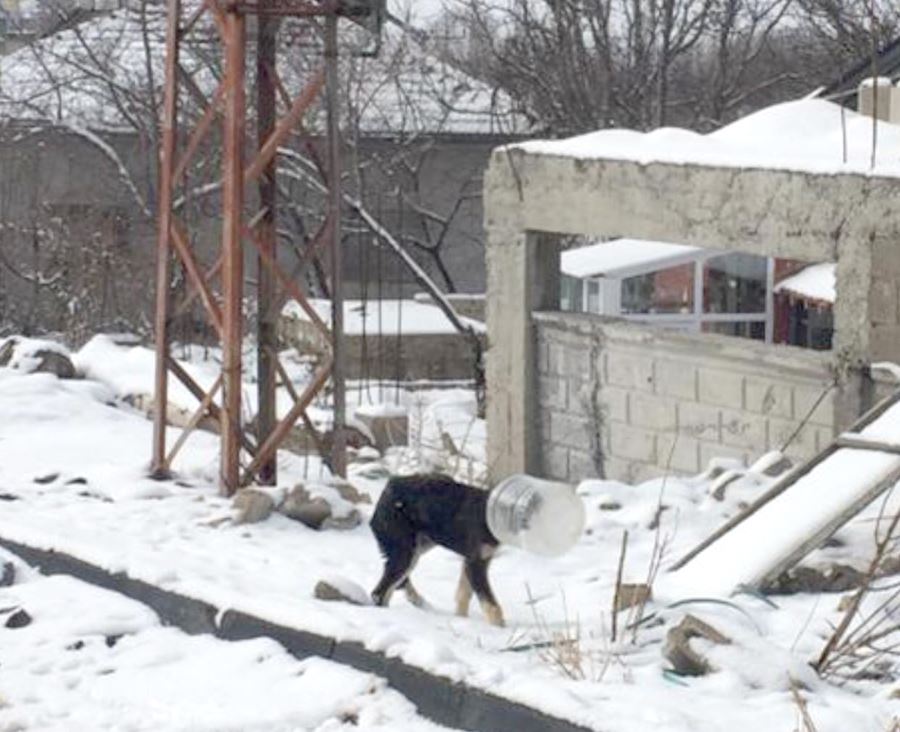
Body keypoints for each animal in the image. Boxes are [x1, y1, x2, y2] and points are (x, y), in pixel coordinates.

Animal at [368, 474, 506, 628]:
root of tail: (388, 486)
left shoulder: (473, 561)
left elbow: (463, 595)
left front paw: (461, 621)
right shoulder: (476, 563)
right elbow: (493, 607)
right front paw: (499, 630)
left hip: (417, 549)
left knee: (395, 584)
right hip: (405, 553)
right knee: (379, 593)